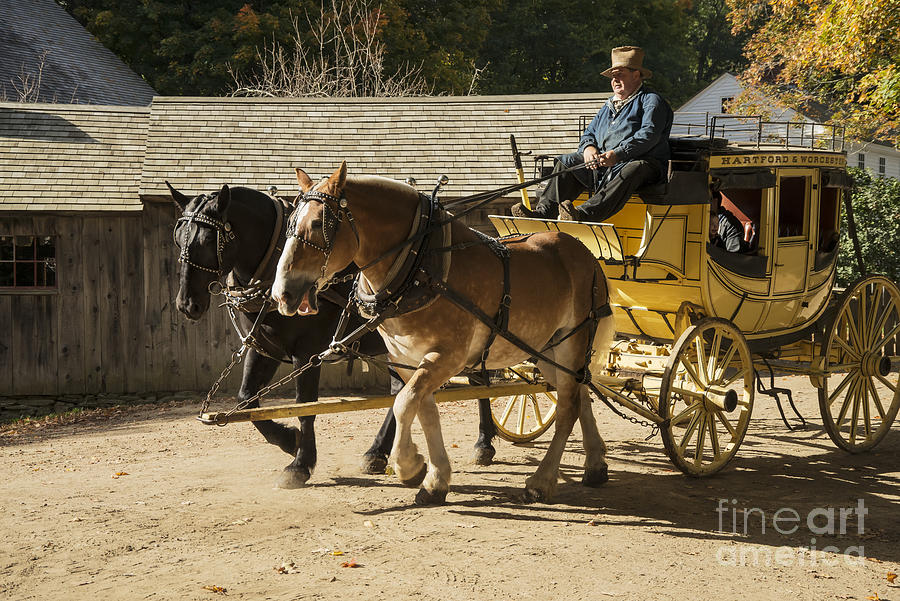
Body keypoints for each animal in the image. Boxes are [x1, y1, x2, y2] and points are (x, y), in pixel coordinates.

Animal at [169, 183, 502, 488]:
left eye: (207, 239)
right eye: (177, 237)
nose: (187, 304)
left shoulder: (306, 354)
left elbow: (305, 408)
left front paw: (300, 463)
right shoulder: (264, 348)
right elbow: (247, 399)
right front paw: (289, 440)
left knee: (476, 380)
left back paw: (483, 443)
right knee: (405, 391)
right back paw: (377, 453)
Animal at [270, 163, 616, 502]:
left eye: (318, 223)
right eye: (290, 223)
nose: (282, 294)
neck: (419, 265)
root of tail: (586, 254)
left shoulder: (447, 356)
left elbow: (404, 403)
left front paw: (408, 465)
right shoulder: (406, 359)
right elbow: (424, 410)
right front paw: (434, 479)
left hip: (572, 342)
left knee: (568, 407)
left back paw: (542, 480)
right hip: (547, 349)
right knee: (580, 394)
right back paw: (595, 466)